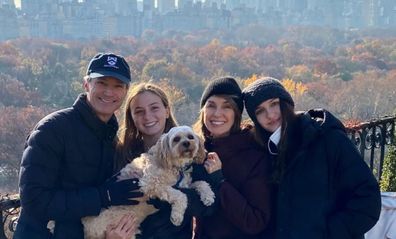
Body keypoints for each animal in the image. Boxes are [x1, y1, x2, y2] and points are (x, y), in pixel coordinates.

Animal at [81, 126, 215, 238]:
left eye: (190, 137)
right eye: (176, 139)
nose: (187, 143)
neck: (174, 166)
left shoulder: (184, 184)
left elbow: (201, 182)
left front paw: (208, 196)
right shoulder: (151, 183)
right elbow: (180, 195)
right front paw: (176, 216)